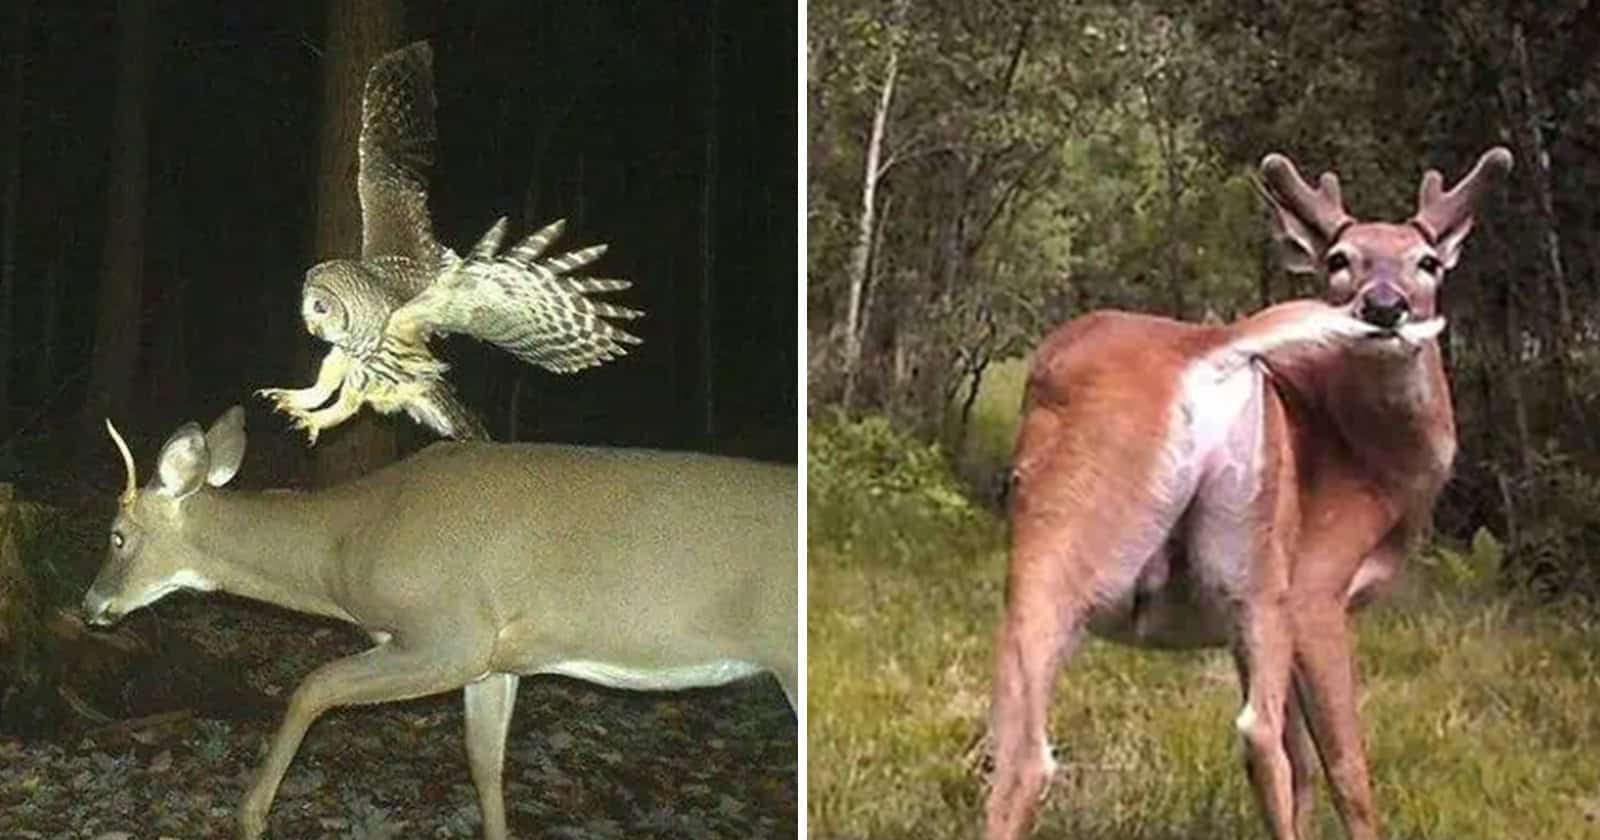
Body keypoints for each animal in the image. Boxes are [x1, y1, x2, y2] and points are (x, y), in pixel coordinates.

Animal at [81, 406, 797, 840]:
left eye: (117, 536)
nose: (89, 607)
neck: (345, 547)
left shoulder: (450, 633)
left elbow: (313, 686)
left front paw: (250, 814)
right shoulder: (496, 662)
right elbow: (484, 764)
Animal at [980, 147, 1511, 840]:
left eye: (1426, 261)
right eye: (1340, 260)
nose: (1384, 305)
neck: (1380, 476)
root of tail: (1214, 348)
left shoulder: (1260, 618)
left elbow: (1302, 759)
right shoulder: (1317, 588)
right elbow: (1345, 766)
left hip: (1242, 567)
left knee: (1249, 736)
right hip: (1067, 528)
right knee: (1028, 753)